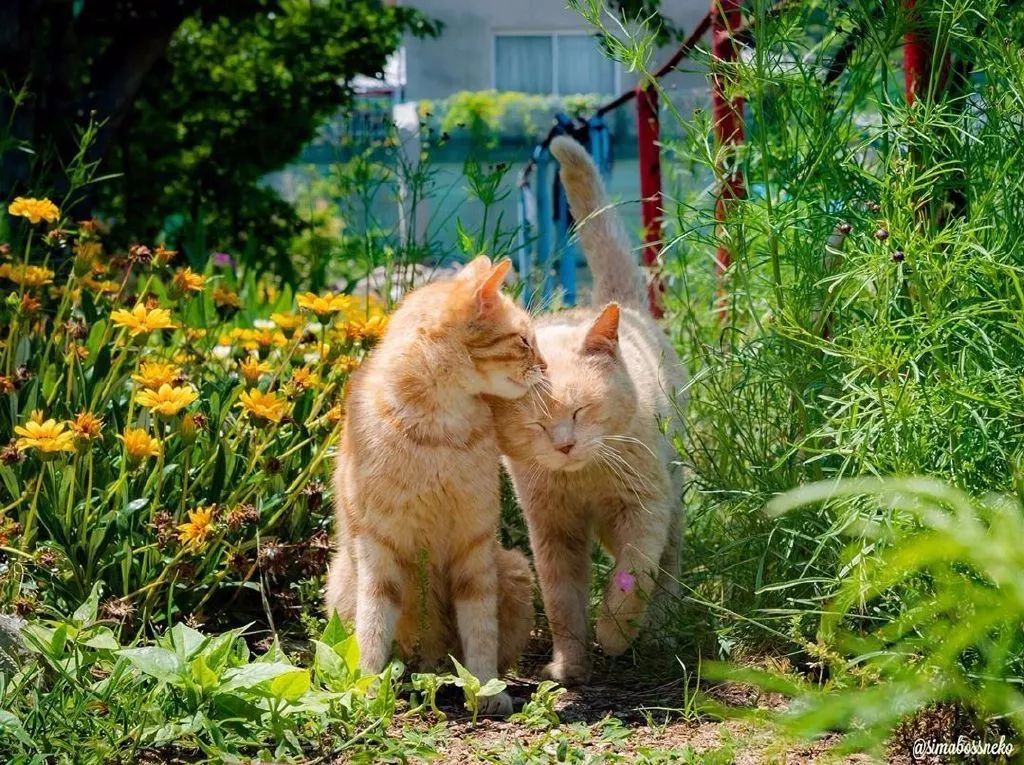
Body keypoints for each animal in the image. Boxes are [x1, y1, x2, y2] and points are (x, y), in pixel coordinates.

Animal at [325, 257, 552, 716]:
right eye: (524, 341)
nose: (546, 368)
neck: (440, 431)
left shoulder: (475, 543)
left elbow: (480, 630)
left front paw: (486, 691)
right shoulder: (379, 545)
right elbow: (373, 626)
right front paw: (369, 692)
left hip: (515, 569)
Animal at [489, 136, 688, 684]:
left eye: (581, 411)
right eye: (536, 422)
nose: (564, 444)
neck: (583, 482)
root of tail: (626, 308)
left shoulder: (644, 508)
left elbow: (631, 578)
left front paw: (615, 635)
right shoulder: (551, 530)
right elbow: (562, 602)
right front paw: (571, 665)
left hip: (674, 496)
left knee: (667, 569)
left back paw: (658, 632)